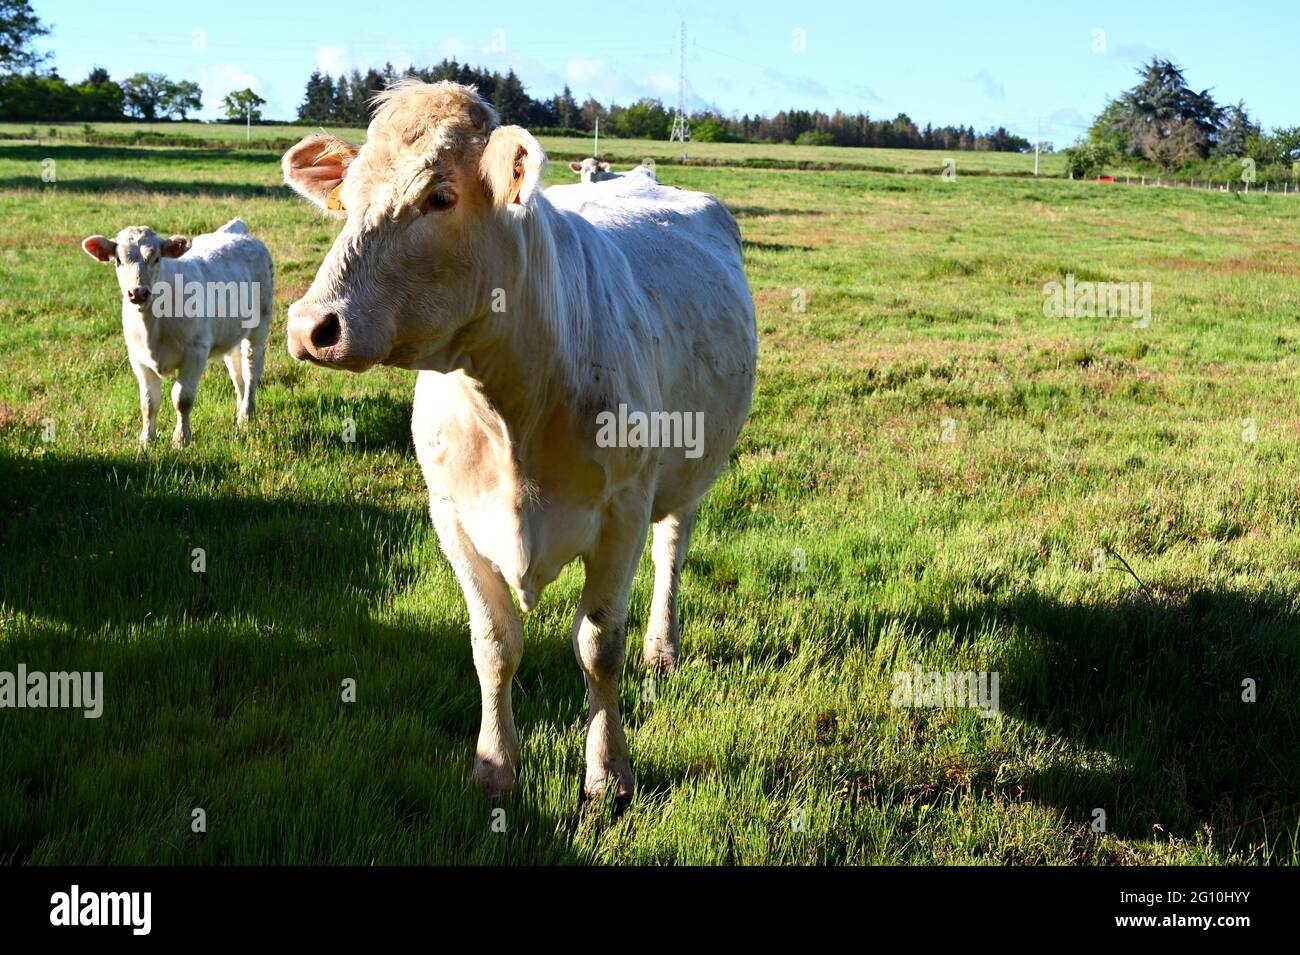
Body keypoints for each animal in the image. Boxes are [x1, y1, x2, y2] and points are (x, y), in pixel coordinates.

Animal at [81, 219, 274, 447]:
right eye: (119, 260)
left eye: (156, 258)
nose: (138, 292)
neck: (152, 328)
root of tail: (237, 231)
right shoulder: (138, 359)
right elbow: (149, 402)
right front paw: (147, 440)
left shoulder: (196, 353)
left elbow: (182, 399)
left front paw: (181, 439)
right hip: (231, 332)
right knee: (237, 371)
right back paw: (240, 407)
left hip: (260, 323)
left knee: (252, 368)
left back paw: (246, 415)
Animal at [281, 80, 756, 803]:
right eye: (349, 197)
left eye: (439, 196)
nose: (312, 326)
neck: (510, 408)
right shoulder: (450, 514)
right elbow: (494, 645)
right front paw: (495, 764)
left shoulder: (623, 509)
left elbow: (599, 646)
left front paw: (608, 773)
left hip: (688, 472)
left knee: (672, 549)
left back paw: (663, 647)